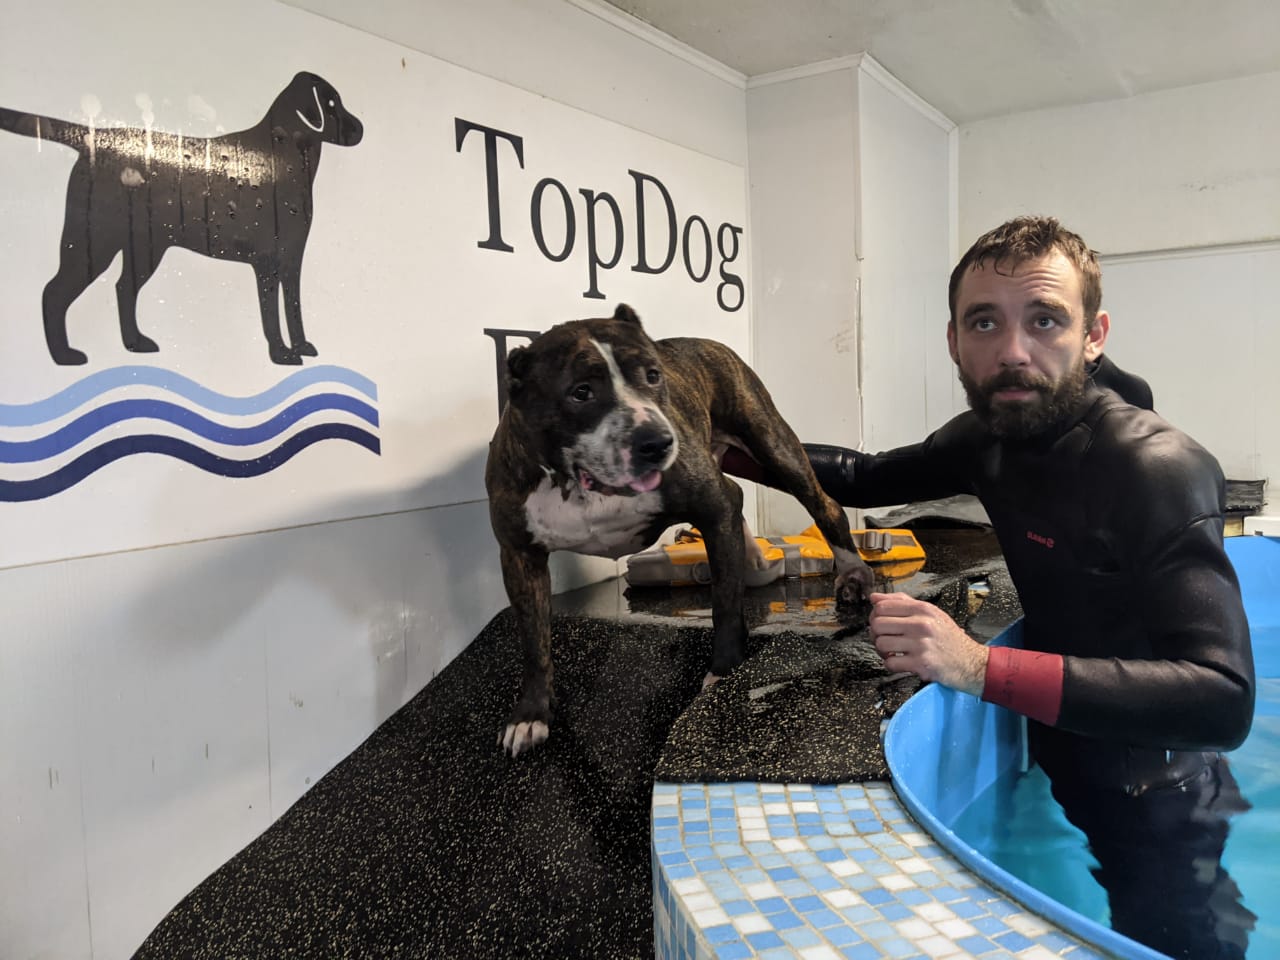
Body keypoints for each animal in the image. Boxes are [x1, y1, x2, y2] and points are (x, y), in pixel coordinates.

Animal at [0, 71, 362, 366]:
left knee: (123, 288)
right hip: (93, 241)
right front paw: (282, 354)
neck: (283, 157)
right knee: (53, 291)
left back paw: (135, 343)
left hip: (144, 249)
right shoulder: (267, 262)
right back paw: (63, 356)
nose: (361, 129)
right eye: (331, 103)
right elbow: (271, 316)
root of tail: (94, 137)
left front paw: (300, 346)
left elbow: (294, 308)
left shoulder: (291, 260)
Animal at [485, 304, 874, 756]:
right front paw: (530, 714)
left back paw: (852, 572)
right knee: (742, 499)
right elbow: (534, 640)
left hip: (773, 446)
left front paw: (724, 675)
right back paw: (755, 558)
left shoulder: (712, 506)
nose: (657, 441)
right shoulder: (518, 555)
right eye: (581, 392)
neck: (589, 484)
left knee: (823, 503)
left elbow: (725, 606)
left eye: (653, 375)